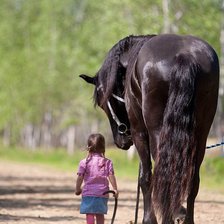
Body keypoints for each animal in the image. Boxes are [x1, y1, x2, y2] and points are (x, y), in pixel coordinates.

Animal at [79, 33, 220, 224]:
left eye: (102, 103)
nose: (121, 140)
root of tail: (185, 56)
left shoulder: (139, 132)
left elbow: (145, 177)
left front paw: (149, 218)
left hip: (156, 132)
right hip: (201, 135)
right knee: (192, 179)